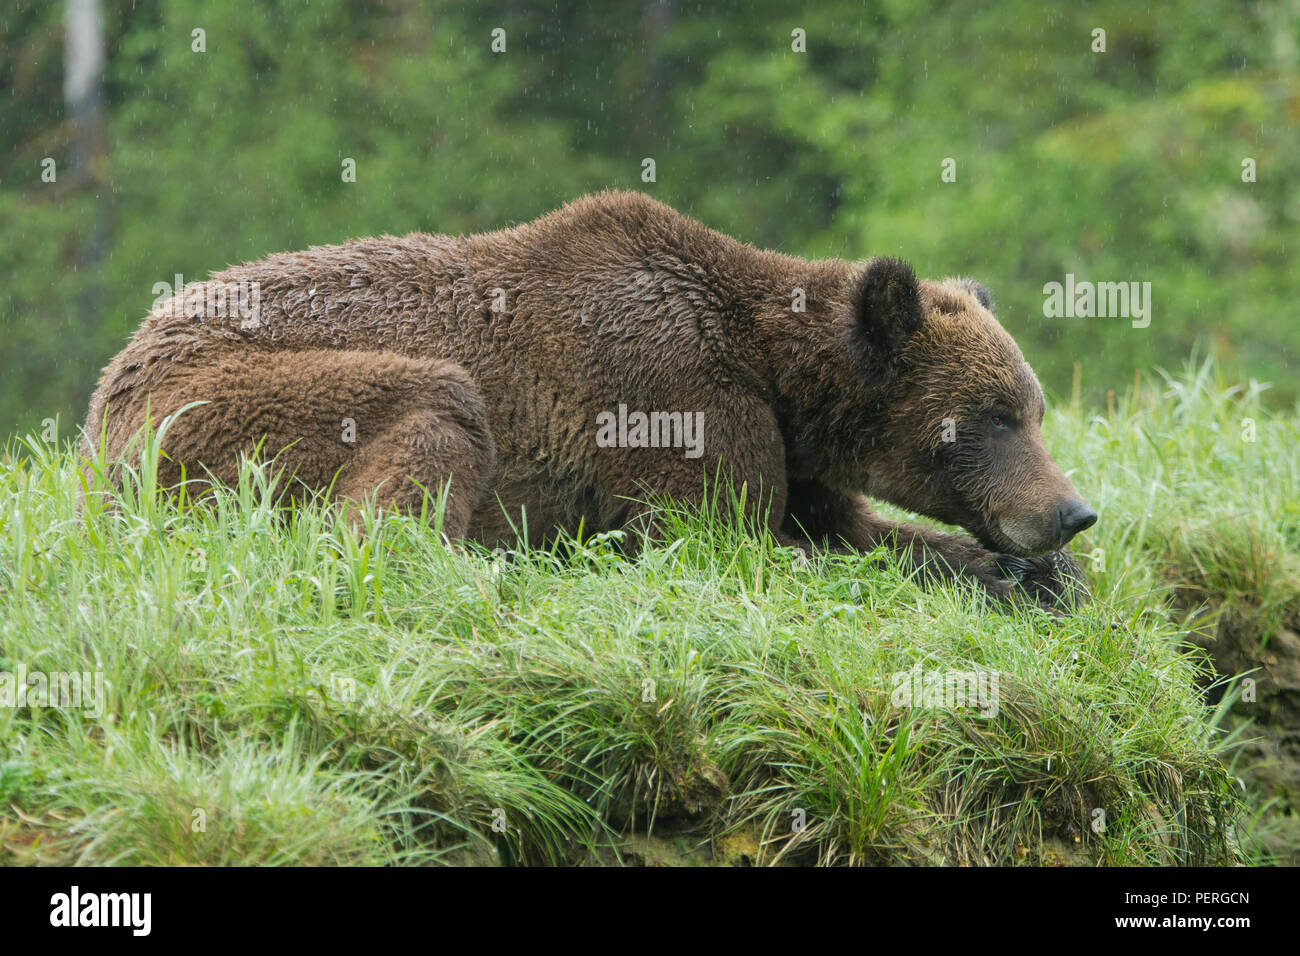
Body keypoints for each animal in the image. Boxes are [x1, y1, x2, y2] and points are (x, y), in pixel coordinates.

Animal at [81, 190, 1095, 610]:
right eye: (990, 418)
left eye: (1034, 409)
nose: (1072, 512)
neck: (781, 380)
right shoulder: (671, 393)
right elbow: (720, 540)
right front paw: (1006, 575)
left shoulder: (792, 453)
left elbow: (848, 525)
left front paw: (1042, 577)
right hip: (220, 402)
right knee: (431, 417)